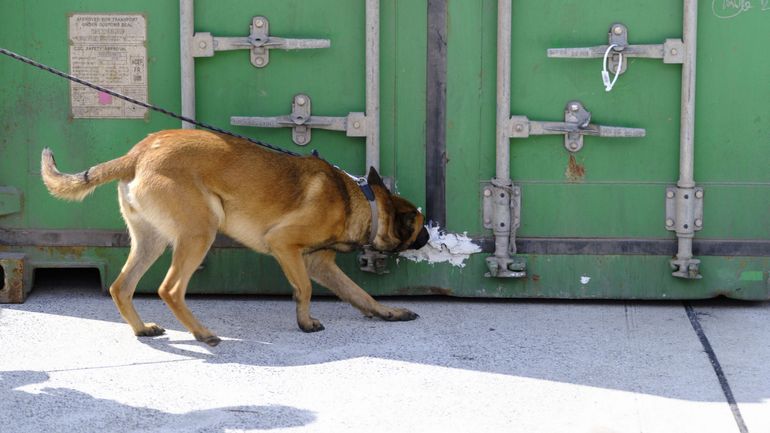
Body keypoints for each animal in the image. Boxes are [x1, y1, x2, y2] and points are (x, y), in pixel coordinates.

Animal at [40, 130, 426, 346]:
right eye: (419, 225)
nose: (427, 236)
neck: (361, 200)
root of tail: (138, 153)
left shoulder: (320, 263)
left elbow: (361, 295)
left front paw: (388, 312)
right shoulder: (284, 245)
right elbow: (304, 289)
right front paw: (304, 323)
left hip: (152, 242)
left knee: (121, 286)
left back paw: (142, 330)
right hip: (200, 233)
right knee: (170, 289)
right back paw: (202, 334)